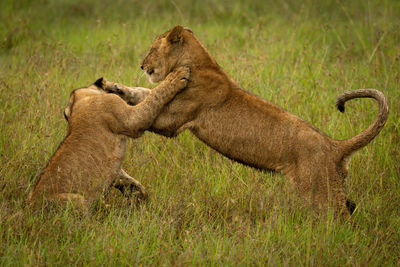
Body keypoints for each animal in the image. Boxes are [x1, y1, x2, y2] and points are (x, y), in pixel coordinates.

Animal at [26, 66, 191, 209]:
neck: (80, 100)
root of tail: (28, 208)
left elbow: (126, 178)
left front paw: (142, 197)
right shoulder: (130, 118)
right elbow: (155, 95)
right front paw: (178, 75)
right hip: (75, 200)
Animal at [139, 25, 390, 218]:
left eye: (151, 50)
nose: (141, 66)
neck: (199, 61)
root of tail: (335, 145)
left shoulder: (173, 120)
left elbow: (148, 105)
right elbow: (143, 97)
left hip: (318, 190)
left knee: (342, 217)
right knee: (351, 206)